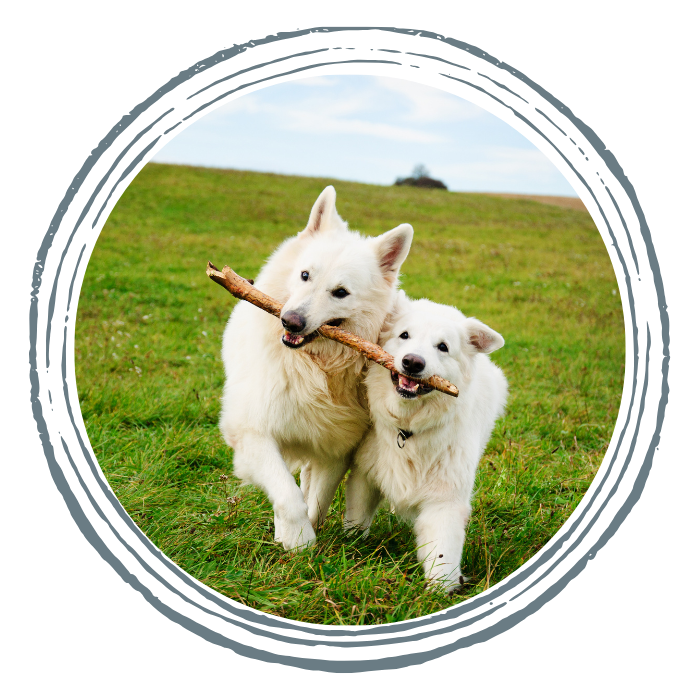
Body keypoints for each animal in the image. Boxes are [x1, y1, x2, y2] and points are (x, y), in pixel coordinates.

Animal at [221, 186, 412, 552]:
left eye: (340, 292)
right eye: (305, 275)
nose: (290, 321)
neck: (315, 366)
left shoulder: (335, 448)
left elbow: (317, 499)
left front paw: (303, 537)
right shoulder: (253, 432)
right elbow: (287, 493)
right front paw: (297, 540)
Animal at [346, 290, 506, 592]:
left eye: (442, 347)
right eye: (404, 335)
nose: (413, 362)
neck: (408, 428)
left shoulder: (445, 501)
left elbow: (442, 552)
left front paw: (441, 591)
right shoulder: (365, 475)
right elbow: (356, 521)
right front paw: (348, 545)